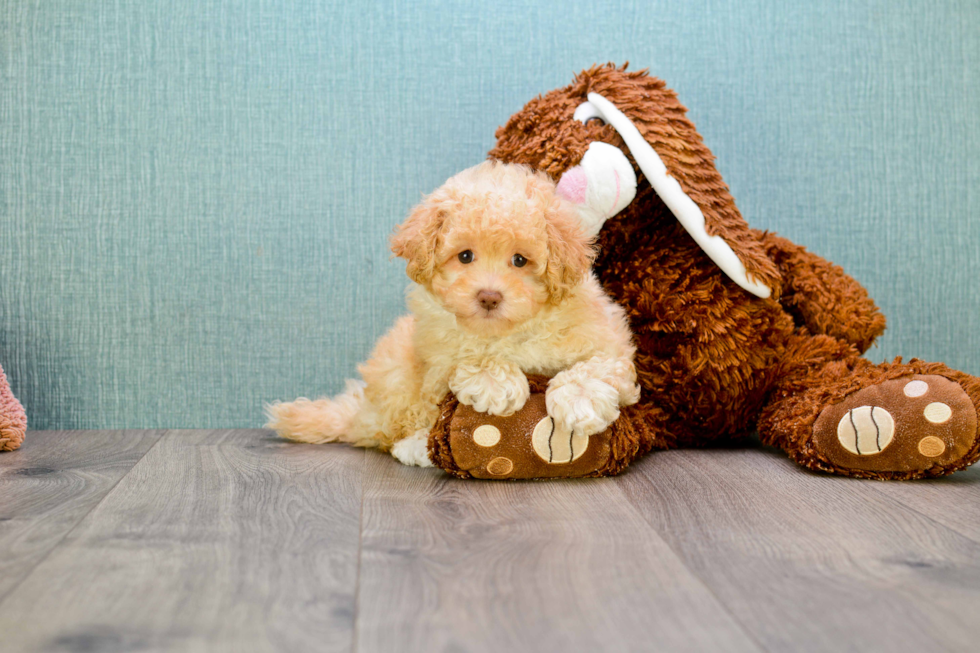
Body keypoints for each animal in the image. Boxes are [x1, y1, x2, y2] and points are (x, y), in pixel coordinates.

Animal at [264, 160, 640, 466]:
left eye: (520, 260)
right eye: (465, 256)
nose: (488, 297)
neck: (508, 330)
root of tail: (361, 411)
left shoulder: (607, 337)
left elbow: (599, 364)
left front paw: (579, 400)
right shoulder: (438, 344)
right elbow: (469, 352)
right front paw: (497, 384)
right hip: (397, 372)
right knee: (395, 430)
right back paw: (417, 448)